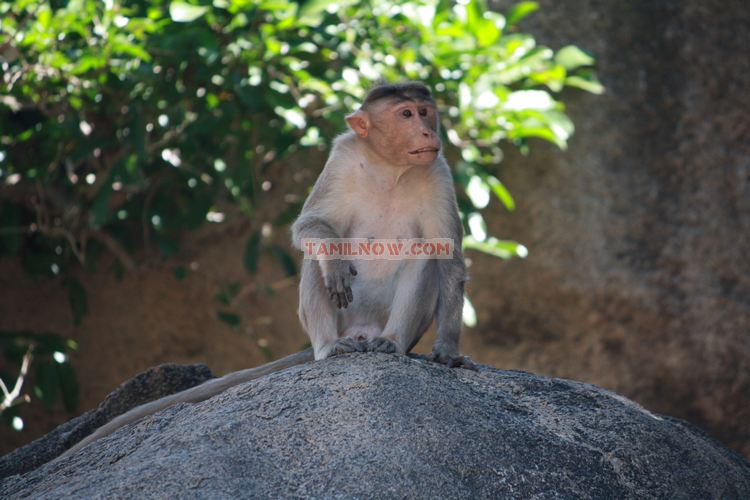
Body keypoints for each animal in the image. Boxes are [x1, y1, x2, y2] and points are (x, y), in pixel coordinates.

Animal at [58, 82, 472, 460]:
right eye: (406, 114)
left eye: (425, 112)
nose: (428, 132)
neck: (391, 169)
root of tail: (362, 333)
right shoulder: (343, 157)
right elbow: (310, 226)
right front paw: (334, 261)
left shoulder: (437, 171)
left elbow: (447, 256)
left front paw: (448, 350)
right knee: (317, 257)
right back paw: (329, 346)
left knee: (422, 254)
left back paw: (391, 342)